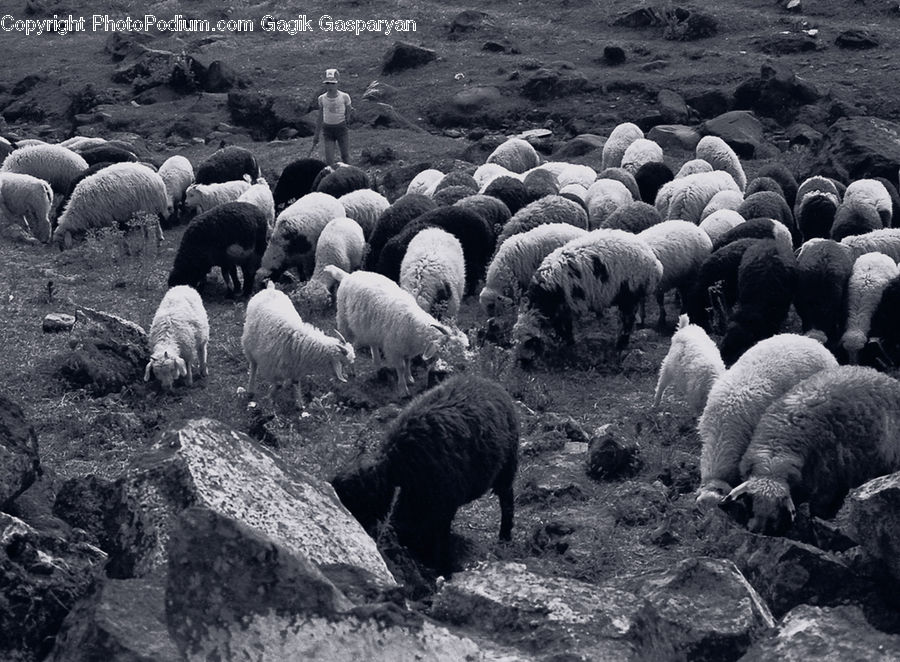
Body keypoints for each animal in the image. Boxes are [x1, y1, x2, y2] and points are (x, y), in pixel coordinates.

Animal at [329, 267, 470, 395]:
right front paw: (403, 389)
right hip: (343, 320)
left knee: (373, 343)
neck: (413, 324)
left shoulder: (407, 348)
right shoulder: (394, 349)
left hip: (371, 328)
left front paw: (409, 378)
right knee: (347, 345)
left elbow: (407, 363)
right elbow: (401, 367)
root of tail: (348, 275)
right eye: (450, 349)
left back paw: (377, 363)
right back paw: (349, 371)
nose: (465, 364)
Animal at [331, 374, 519, 572]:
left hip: (507, 465)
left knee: (506, 500)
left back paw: (504, 537)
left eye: (363, 504)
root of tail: (484, 380)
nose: (366, 537)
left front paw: (442, 566)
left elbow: (440, 538)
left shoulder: (445, 503)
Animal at [513, 228, 663, 362]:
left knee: (627, 322)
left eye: (529, 342)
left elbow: (563, 327)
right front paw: (567, 341)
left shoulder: (561, 307)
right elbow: (565, 327)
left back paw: (620, 345)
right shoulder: (563, 309)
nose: (523, 361)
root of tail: (654, 263)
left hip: (630, 295)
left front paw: (566, 342)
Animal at [721, 366, 900, 534]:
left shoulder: (827, 482)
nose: (756, 530)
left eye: (774, 514)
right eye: (751, 503)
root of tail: (885, 377)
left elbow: (819, 507)